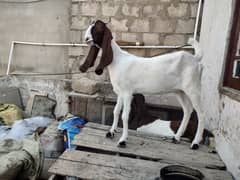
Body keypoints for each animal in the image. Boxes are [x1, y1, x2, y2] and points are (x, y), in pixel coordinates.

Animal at [80, 19, 204, 150]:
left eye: (98, 29)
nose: (86, 39)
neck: (118, 60)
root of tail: (196, 59)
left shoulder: (128, 93)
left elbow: (125, 115)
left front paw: (123, 140)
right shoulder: (120, 93)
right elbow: (116, 111)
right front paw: (111, 132)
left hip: (193, 89)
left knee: (201, 114)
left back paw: (195, 143)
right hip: (180, 91)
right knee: (188, 110)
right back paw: (176, 137)